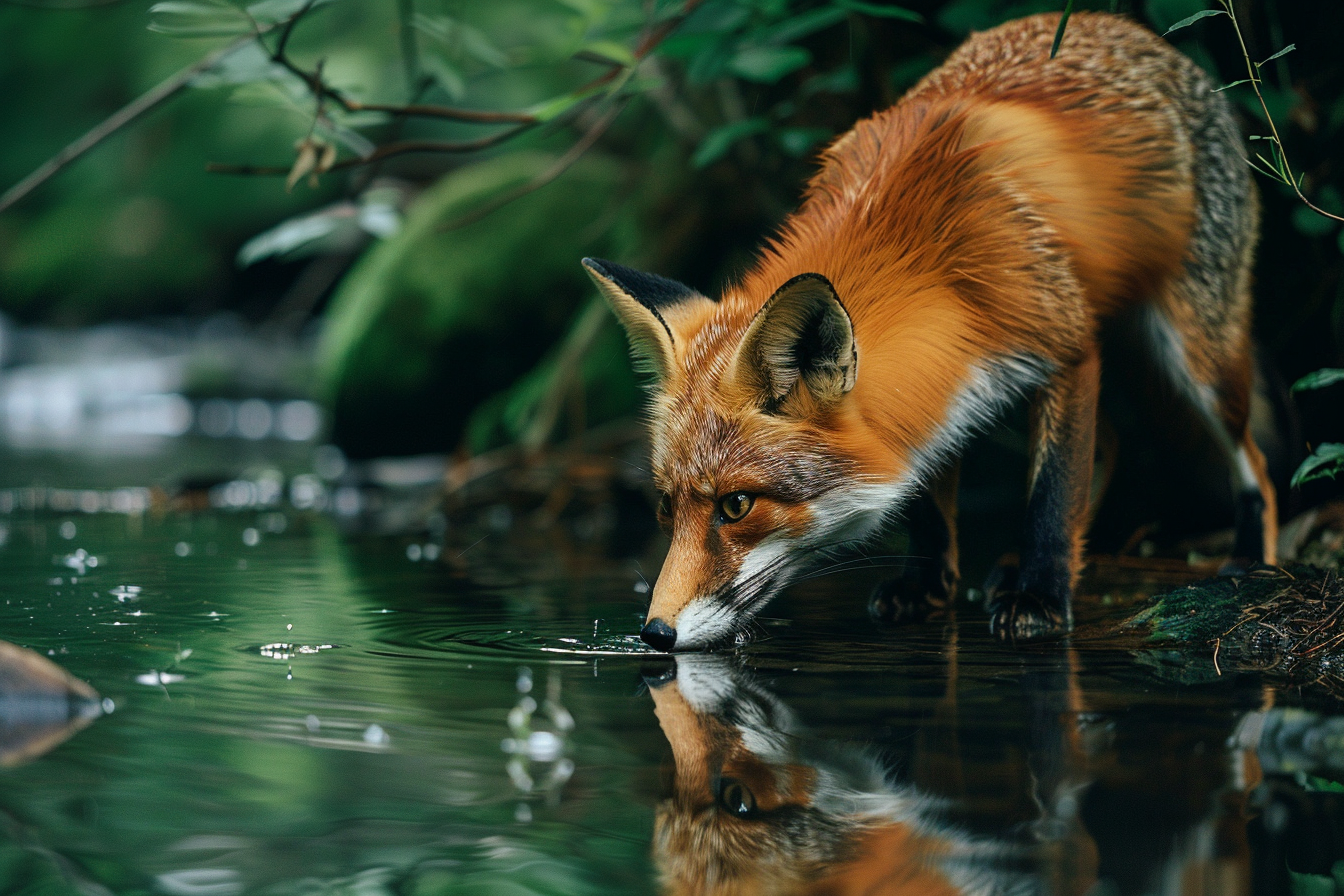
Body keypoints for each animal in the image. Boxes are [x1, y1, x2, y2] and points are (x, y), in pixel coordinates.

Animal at [583, 11, 1278, 649]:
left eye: (736, 506)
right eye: (666, 507)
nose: (654, 634)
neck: (937, 265)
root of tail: (1126, 28)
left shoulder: (1067, 346)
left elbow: (1053, 494)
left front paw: (1040, 595)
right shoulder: (935, 385)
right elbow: (929, 486)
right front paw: (928, 583)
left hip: (1198, 355)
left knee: (1257, 462)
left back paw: (1248, 559)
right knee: (1108, 441)